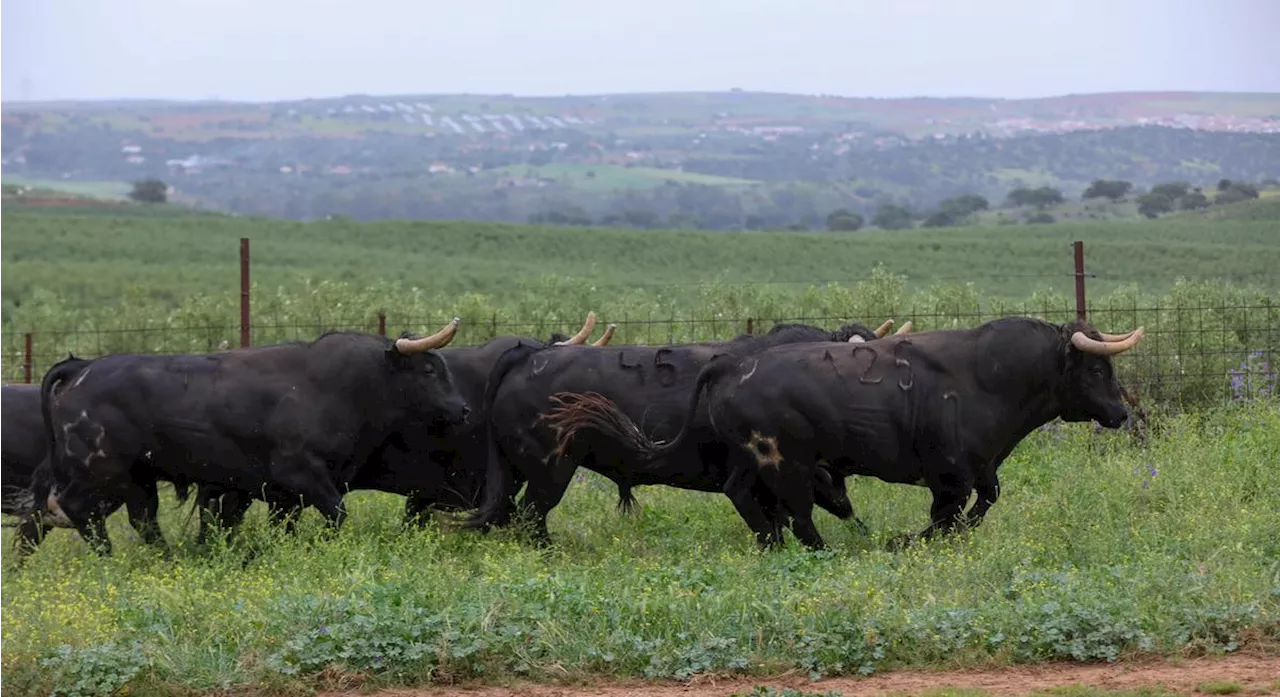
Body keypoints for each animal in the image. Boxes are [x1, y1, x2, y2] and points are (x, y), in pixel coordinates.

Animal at [32, 318, 468, 552]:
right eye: (429, 370)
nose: (463, 409)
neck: (332, 387)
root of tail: (82, 368)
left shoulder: (285, 495)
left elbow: (285, 526)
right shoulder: (302, 475)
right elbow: (337, 514)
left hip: (139, 478)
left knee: (144, 519)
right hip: (102, 469)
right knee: (80, 509)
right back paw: (109, 555)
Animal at [535, 314, 1146, 549]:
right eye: (1097, 370)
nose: (1120, 414)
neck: (982, 377)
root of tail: (731, 366)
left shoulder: (978, 469)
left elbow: (982, 502)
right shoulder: (948, 473)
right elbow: (948, 514)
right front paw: (907, 541)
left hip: (759, 461)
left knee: (750, 498)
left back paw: (775, 543)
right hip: (786, 460)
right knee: (796, 510)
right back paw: (817, 548)